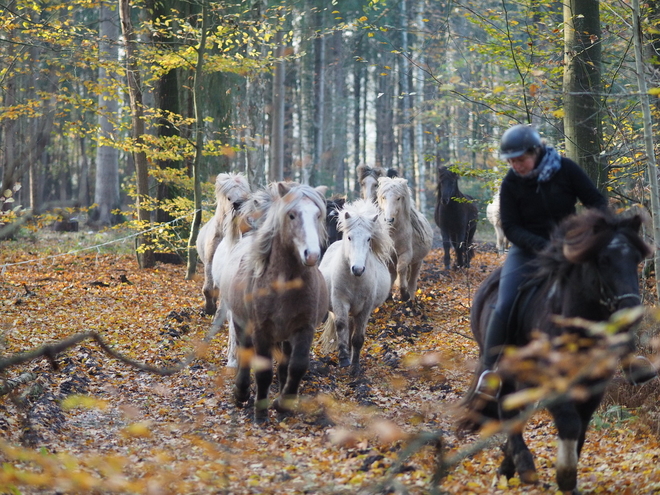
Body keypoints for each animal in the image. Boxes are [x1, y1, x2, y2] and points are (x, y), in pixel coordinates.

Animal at [197, 172, 251, 316]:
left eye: (245, 195)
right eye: (229, 197)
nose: (239, 206)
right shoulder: (209, 262)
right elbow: (208, 289)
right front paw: (209, 309)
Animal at [217, 184, 330, 424]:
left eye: (318, 215)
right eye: (292, 215)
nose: (312, 254)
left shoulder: (304, 329)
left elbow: (297, 366)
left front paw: (283, 403)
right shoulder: (262, 331)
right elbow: (263, 372)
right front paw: (260, 414)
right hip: (242, 324)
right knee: (244, 351)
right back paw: (241, 393)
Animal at [318, 200, 394, 374]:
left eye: (368, 239)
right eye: (349, 237)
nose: (357, 269)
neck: (355, 280)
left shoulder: (365, 308)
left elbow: (358, 338)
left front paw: (355, 367)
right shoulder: (339, 301)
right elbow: (341, 327)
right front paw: (344, 359)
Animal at [462, 207, 652, 494]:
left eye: (636, 259)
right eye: (603, 260)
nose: (631, 312)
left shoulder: (592, 385)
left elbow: (581, 426)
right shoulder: (554, 381)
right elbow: (569, 423)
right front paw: (565, 476)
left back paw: (508, 468)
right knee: (506, 407)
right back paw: (522, 467)